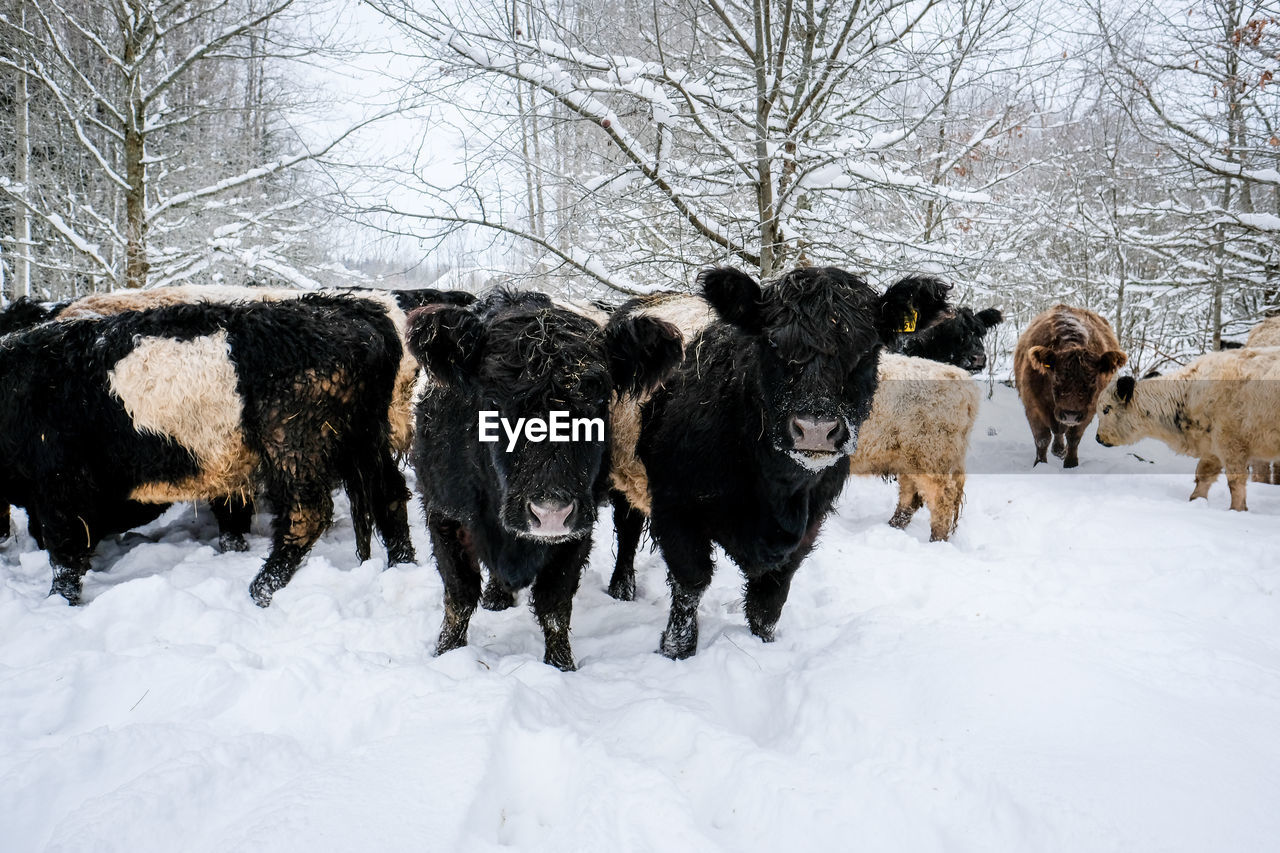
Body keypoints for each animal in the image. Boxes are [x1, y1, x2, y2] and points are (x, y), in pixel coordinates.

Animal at [0, 295, 404, 601]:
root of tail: (348, 309)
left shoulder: (58, 483)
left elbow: (64, 552)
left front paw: (59, 601)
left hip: (295, 441)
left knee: (307, 514)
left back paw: (261, 591)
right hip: (366, 437)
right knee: (390, 494)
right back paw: (403, 565)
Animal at [409, 289, 680, 666]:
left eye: (599, 402)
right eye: (493, 402)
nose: (550, 512)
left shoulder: (577, 528)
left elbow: (555, 605)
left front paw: (561, 665)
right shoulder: (446, 514)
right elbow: (459, 597)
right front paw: (446, 653)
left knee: (627, 531)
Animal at [609, 266, 952, 655]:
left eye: (867, 349)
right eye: (773, 343)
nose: (816, 429)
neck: (776, 493)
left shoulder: (808, 524)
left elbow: (769, 600)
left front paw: (764, 644)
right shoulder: (676, 508)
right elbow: (690, 583)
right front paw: (676, 650)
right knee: (627, 530)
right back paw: (622, 588)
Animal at [1013, 303, 1126, 466]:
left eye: (1093, 380)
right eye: (1056, 377)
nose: (1070, 415)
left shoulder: (1088, 411)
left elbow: (1074, 438)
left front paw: (1071, 464)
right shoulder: (1033, 406)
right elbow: (1042, 439)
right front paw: (1040, 464)